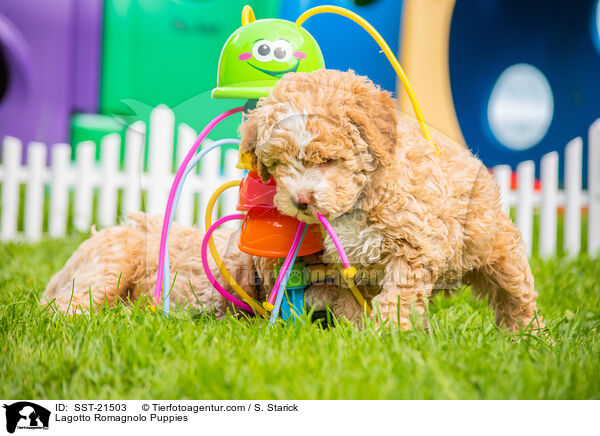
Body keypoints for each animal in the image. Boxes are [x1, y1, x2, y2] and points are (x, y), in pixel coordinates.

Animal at [239, 70, 544, 332]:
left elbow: (396, 297)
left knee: (515, 294)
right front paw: (357, 334)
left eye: (326, 160)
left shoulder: (412, 249)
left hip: (493, 247)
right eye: (278, 164)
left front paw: (388, 333)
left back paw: (529, 335)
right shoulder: (342, 268)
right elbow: (350, 304)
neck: (359, 201)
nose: (300, 201)